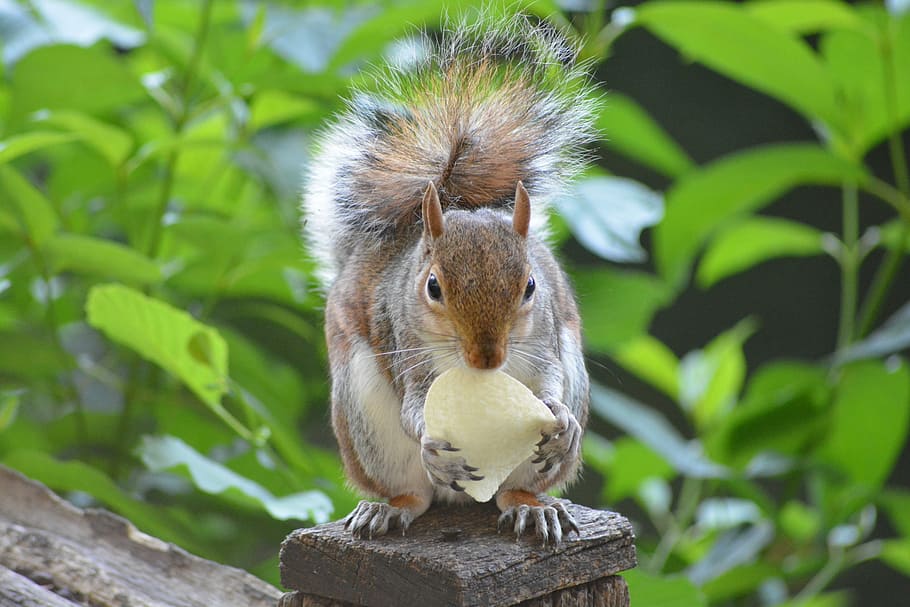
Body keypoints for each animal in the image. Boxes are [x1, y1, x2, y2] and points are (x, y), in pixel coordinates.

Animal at [302, 14, 598, 544]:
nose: (488, 358)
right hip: (364, 421)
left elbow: (550, 379)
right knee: (412, 491)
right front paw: (429, 442)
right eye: (433, 287)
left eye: (530, 287)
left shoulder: (544, 339)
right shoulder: (405, 344)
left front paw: (562, 424)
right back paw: (389, 508)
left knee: (512, 490)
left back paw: (531, 506)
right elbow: (414, 407)